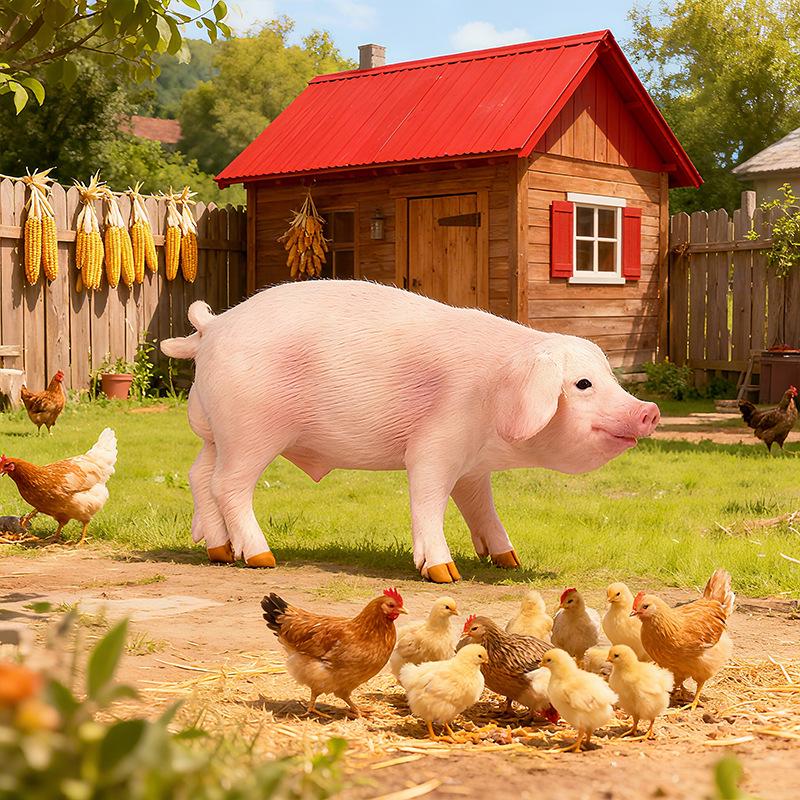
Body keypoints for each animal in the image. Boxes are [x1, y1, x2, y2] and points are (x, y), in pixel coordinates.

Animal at [161, 280, 659, 583]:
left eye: (610, 377)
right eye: (582, 384)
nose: (649, 410)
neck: (494, 396)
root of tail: (214, 326)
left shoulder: (473, 467)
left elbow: (481, 506)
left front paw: (509, 561)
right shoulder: (435, 443)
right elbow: (427, 498)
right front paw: (445, 574)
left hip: (214, 432)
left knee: (198, 475)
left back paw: (218, 551)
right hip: (251, 430)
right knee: (229, 485)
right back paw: (262, 559)